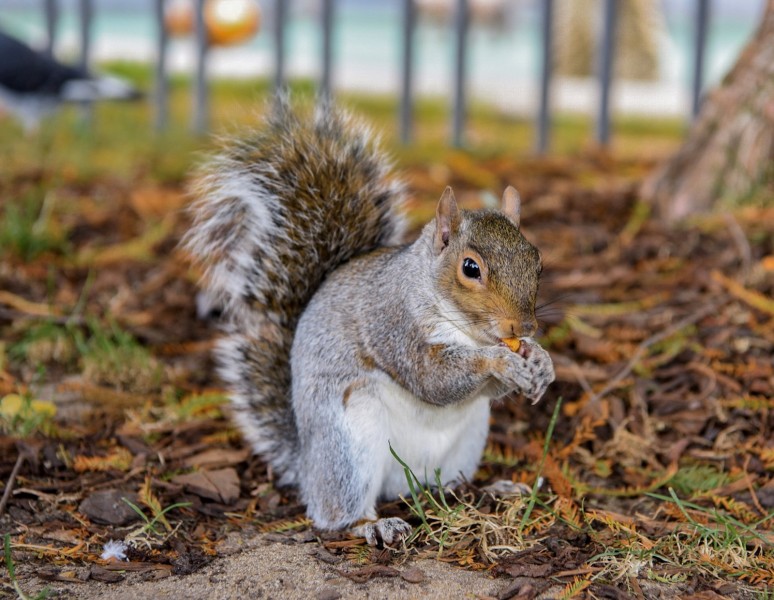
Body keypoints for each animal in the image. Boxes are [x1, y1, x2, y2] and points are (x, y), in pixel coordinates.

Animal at [184, 98, 556, 544]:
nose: (524, 328)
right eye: (470, 268)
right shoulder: (393, 322)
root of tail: (306, 464)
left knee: (443, 485)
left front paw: (541, 362)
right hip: (351, 441)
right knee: (336, 513)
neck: (466, 329)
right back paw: (373, 523)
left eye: (537, 261)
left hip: (468, 440)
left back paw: (484, 490)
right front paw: (500, 361)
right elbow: (432, 379)